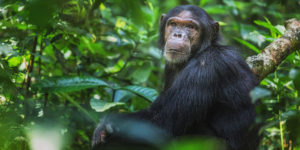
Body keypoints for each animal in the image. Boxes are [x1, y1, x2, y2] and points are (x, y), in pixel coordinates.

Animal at [92, 4, 260, 150]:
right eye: (173, 24)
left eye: (191, 27)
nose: (178, 34)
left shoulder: (208, 66)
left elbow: (159, 121)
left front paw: (107, 125)